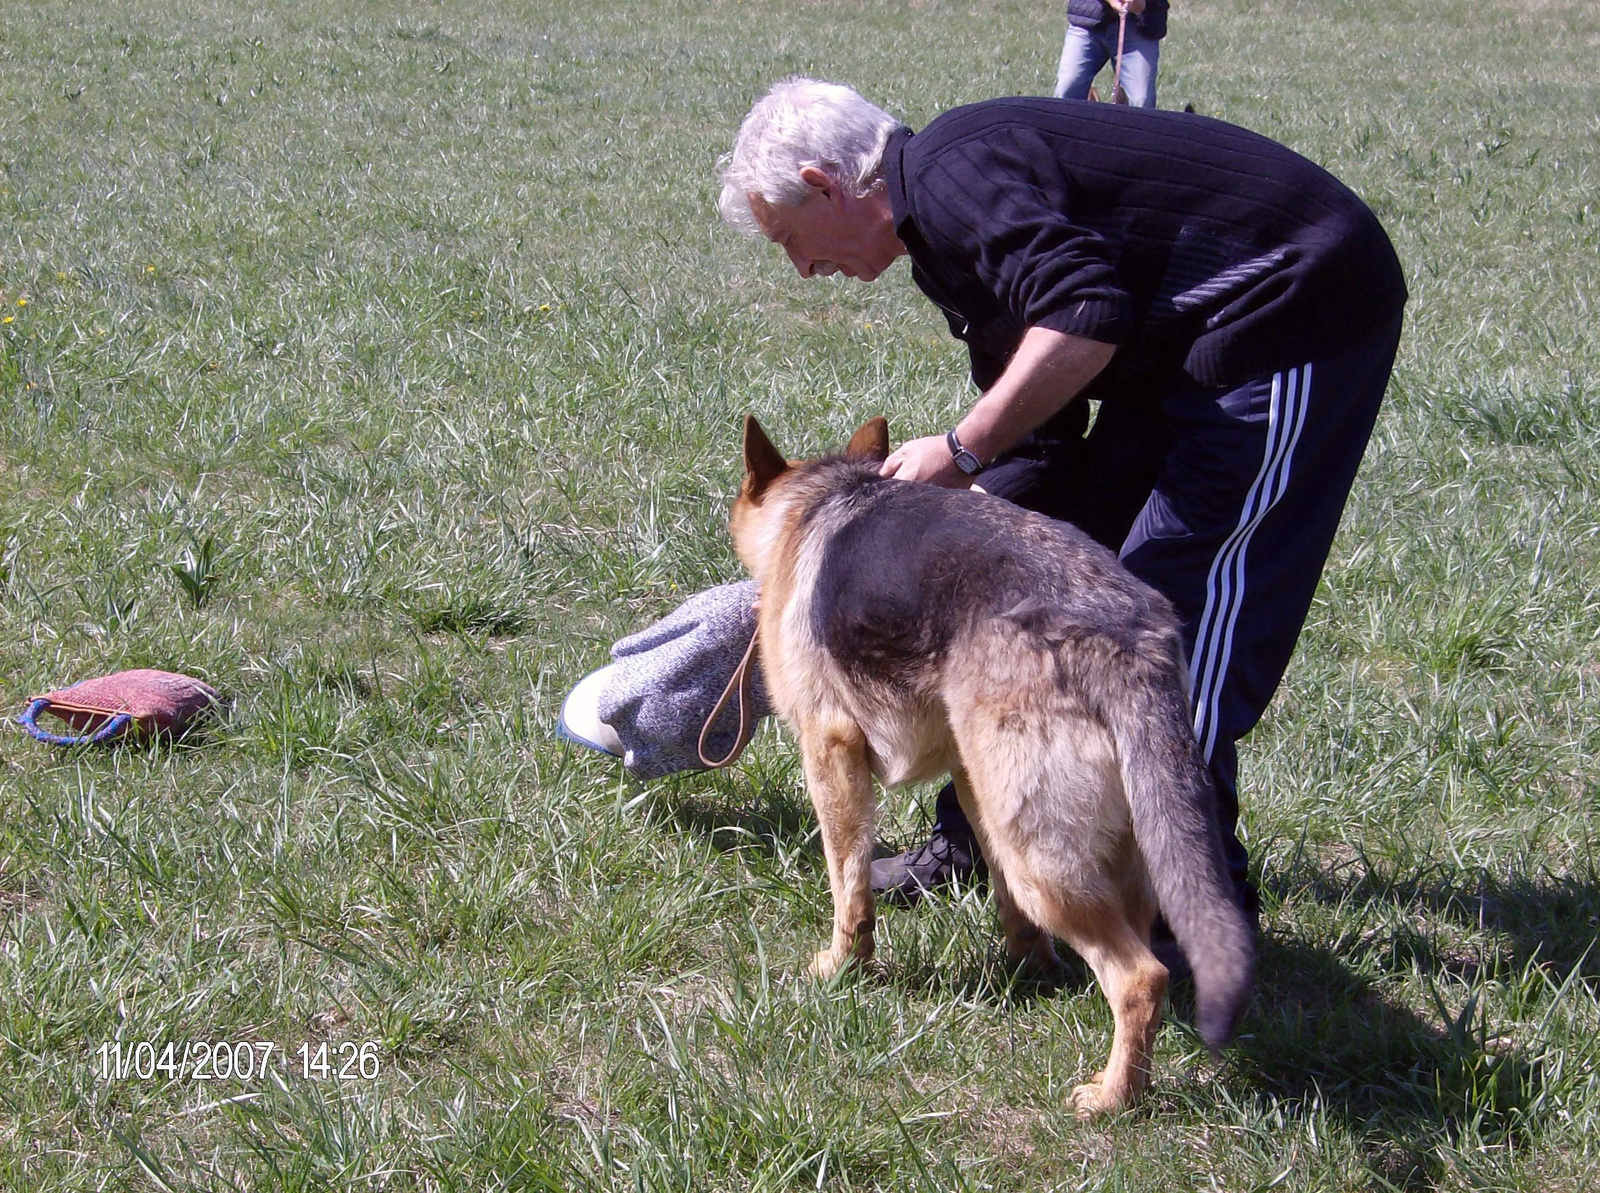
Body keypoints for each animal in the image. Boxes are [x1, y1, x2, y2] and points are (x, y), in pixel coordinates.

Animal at [732, 412, 1254, 1113]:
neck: (819, 497)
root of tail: (1127, 636)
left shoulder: (831, 753)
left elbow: (849, 887)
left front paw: (843, 969)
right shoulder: (969, 778)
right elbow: (1007, 907)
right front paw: (1031, 969)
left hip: (1043, 859)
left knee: (1143, 977)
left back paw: (1112, 1098)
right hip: (1084, 839)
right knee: (1134, 941)